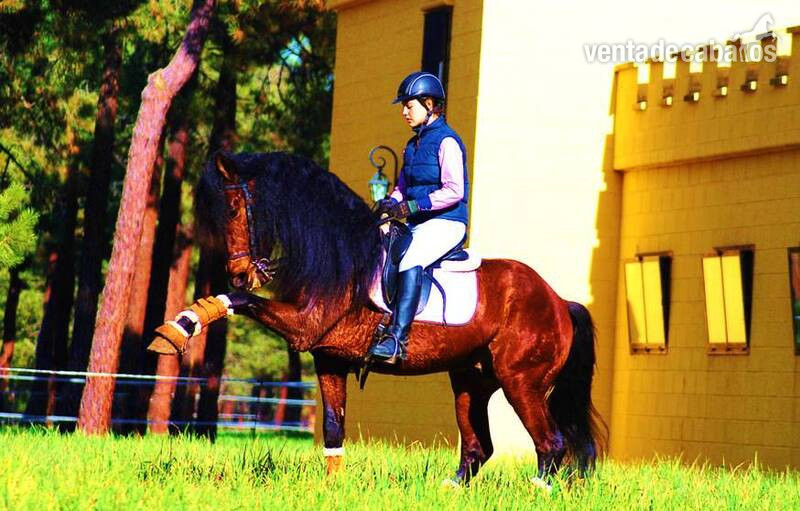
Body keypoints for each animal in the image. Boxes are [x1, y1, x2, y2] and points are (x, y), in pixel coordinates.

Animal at [182, 150, 605, 486]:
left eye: (233, 210)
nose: (240, 273)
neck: (340, 252)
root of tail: (559, 301)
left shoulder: (302, 327)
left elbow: (241, 299)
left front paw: (182, 326)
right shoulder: (328, 357)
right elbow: (333, 427)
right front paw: (332, 488)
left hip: (521, 383)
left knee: (549, 443)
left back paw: (538, 491)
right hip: (472, 381)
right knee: (477, 447)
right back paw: (449, 490)